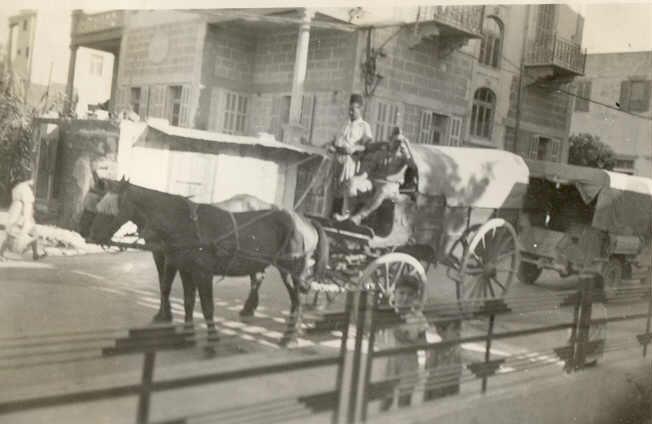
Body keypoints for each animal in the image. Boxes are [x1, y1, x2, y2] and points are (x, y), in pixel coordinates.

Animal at [86, 178, 328, 344]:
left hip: (294, 270)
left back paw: (289, 337)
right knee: (273, 288)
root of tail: (304, 220)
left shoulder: (201, 272)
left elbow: (206, 306)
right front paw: (184, 331)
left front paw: (210, 339)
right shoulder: (184, 268)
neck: (182, 223)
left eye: (111, 211)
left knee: (297, 300)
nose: (91, 236)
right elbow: (187, 301)